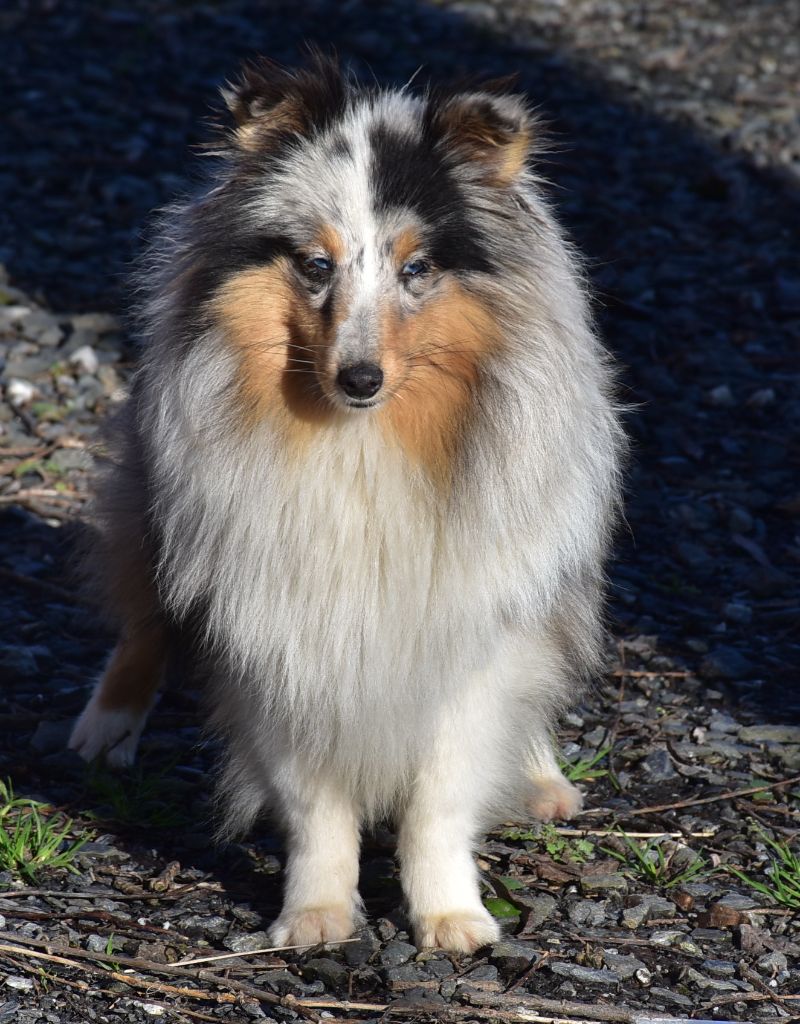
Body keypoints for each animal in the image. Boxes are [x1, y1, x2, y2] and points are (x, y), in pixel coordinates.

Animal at [68, 54, 622, 950]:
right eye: (315, 265)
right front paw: (316, 916)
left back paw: (540, 779)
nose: (359, 378)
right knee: (145, 616)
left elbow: (440, 797)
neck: (360, 446)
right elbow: (313, 800)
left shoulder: (471, 631)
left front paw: (453, 919)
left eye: (416, 269)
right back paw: (105, 727)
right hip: (157, 503)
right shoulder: (279, 630)